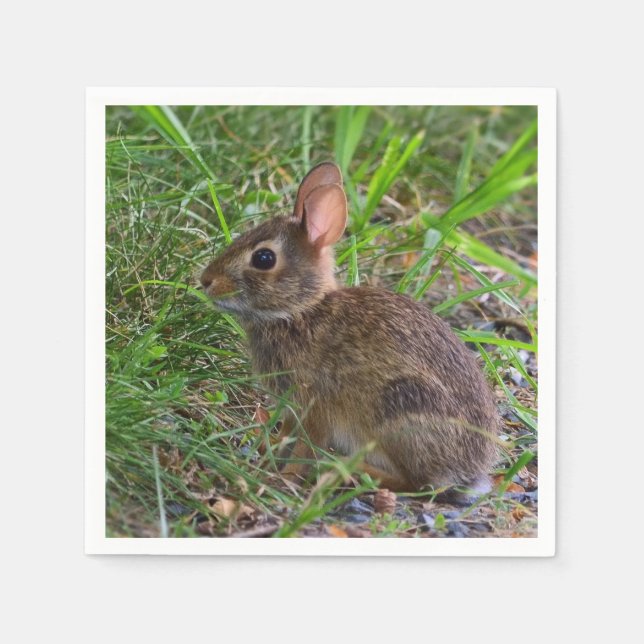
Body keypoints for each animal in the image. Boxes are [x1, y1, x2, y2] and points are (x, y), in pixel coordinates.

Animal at [200, 162, 499, 494]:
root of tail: (471, 466)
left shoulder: (314, 406)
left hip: (399, 411)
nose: (205, 280)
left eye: (263, 258)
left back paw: (345, 469)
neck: (301, 311)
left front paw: (283, 478)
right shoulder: (291, 408)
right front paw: (266, 450)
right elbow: (286, 436)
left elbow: (305, 445)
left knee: (415, 482)